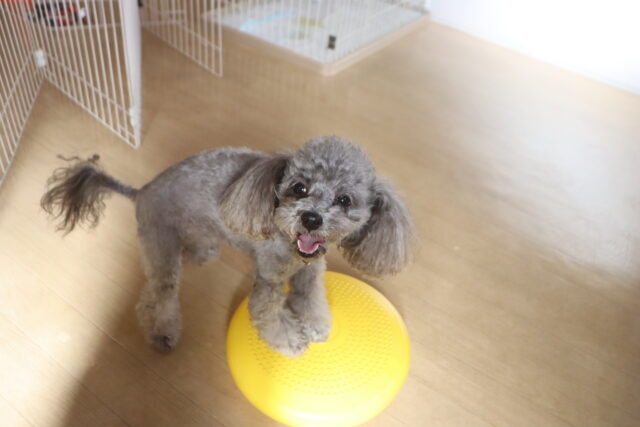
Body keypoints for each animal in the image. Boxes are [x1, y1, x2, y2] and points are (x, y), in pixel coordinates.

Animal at [41, 136, 413, 357]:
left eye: (344, 199)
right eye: (299, 188)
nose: (310, 219)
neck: (294, 249)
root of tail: (142, 190)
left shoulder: (310, 273)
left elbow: (310, 301)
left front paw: (316, 325)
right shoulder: (268, 282)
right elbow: (269, 316)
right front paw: (293, 341)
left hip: (194, 237)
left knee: (158, 286)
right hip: (161, 244)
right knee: (162, 296)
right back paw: (163, 334)